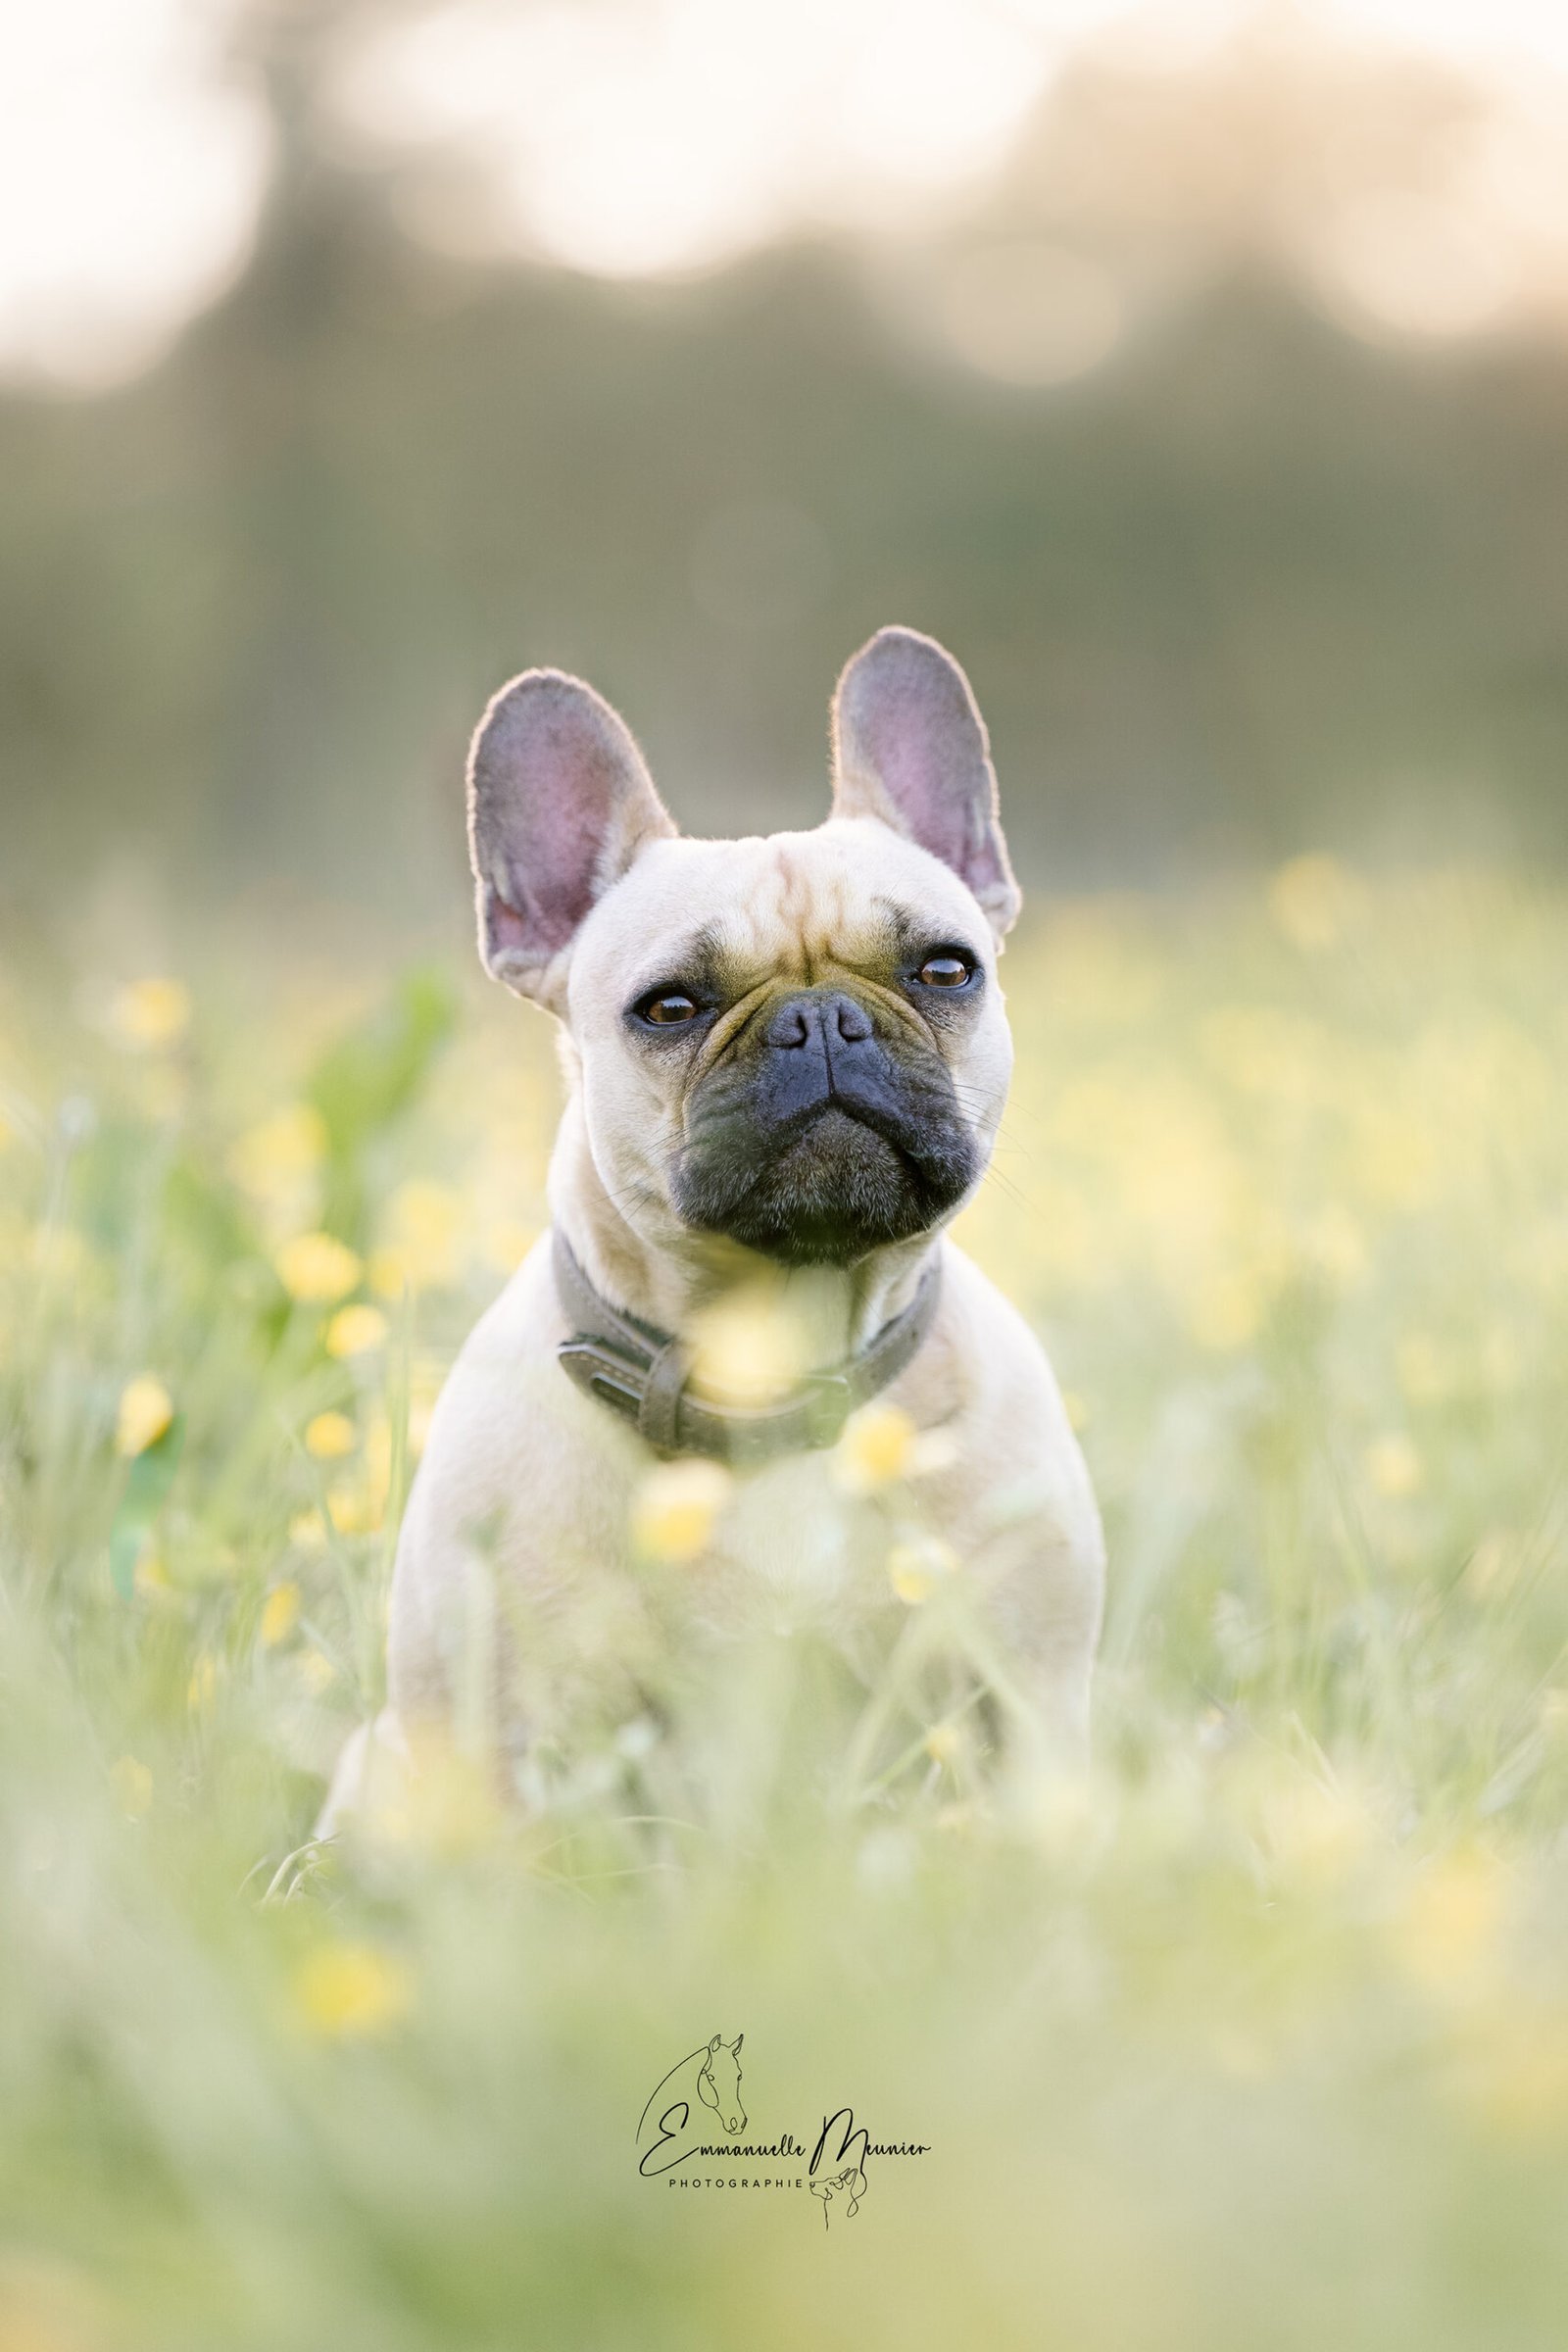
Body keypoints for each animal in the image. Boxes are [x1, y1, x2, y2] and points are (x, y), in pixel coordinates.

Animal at [324, 635, 1104, 1825]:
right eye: (670, 1007)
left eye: (944, 969)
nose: (821, 1019)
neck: (773, 1367)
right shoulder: (494, 1745)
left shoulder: (1033, 1705)